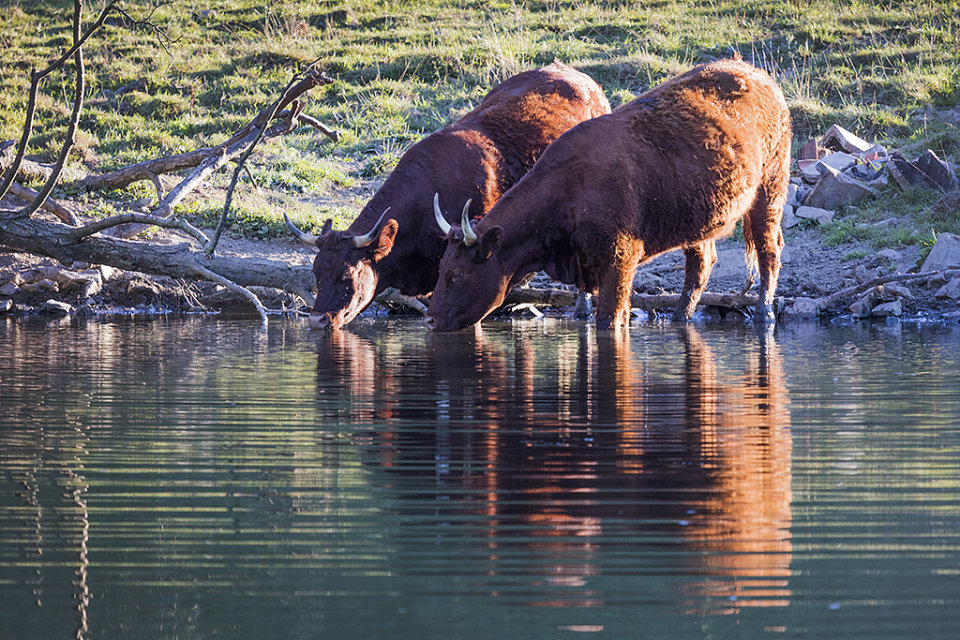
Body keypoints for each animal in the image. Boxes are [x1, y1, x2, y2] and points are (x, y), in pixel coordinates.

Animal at [424, 58, 792, 332]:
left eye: (457, 274)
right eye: (441, 268)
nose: (430, 319)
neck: (570, 188)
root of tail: (756, 74)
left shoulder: (619, 262)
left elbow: (609, 320)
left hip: (770, 190)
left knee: (769, 251)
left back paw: (763, 313)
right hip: (698, 220)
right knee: (700, 265)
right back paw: (679, 318)